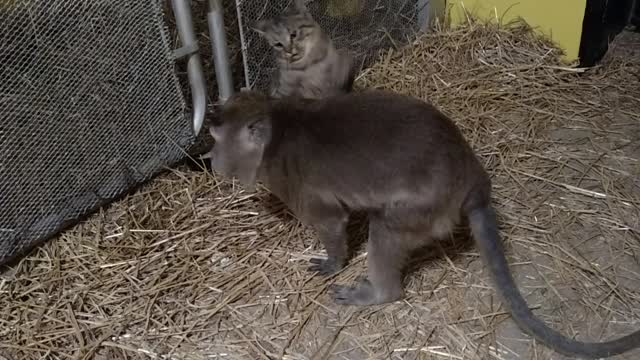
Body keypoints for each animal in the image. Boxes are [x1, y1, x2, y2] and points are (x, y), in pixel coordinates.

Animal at [201, 89, 640, 358]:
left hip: (420, 210)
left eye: (218, 139)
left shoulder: (298, 185)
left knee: (385, 231)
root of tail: (472, 178)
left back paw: (378, 293)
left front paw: (331, 263)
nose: (211, 160)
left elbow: (333, 224)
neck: (279, 126)